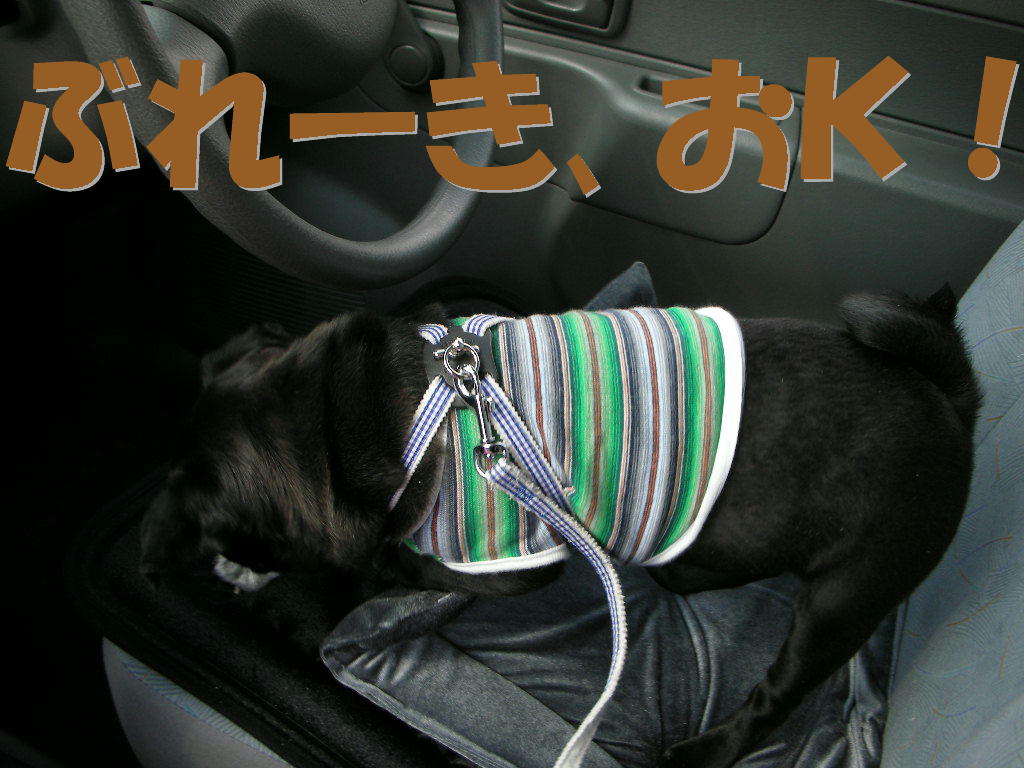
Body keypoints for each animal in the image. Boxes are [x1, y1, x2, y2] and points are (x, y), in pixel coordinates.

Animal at [140, 286, 978, 768]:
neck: (406, 413)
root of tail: (949, 401)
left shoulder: (505, 562)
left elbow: (395, 560)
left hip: (846, 597)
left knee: (777, 695)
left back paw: (706, 752)